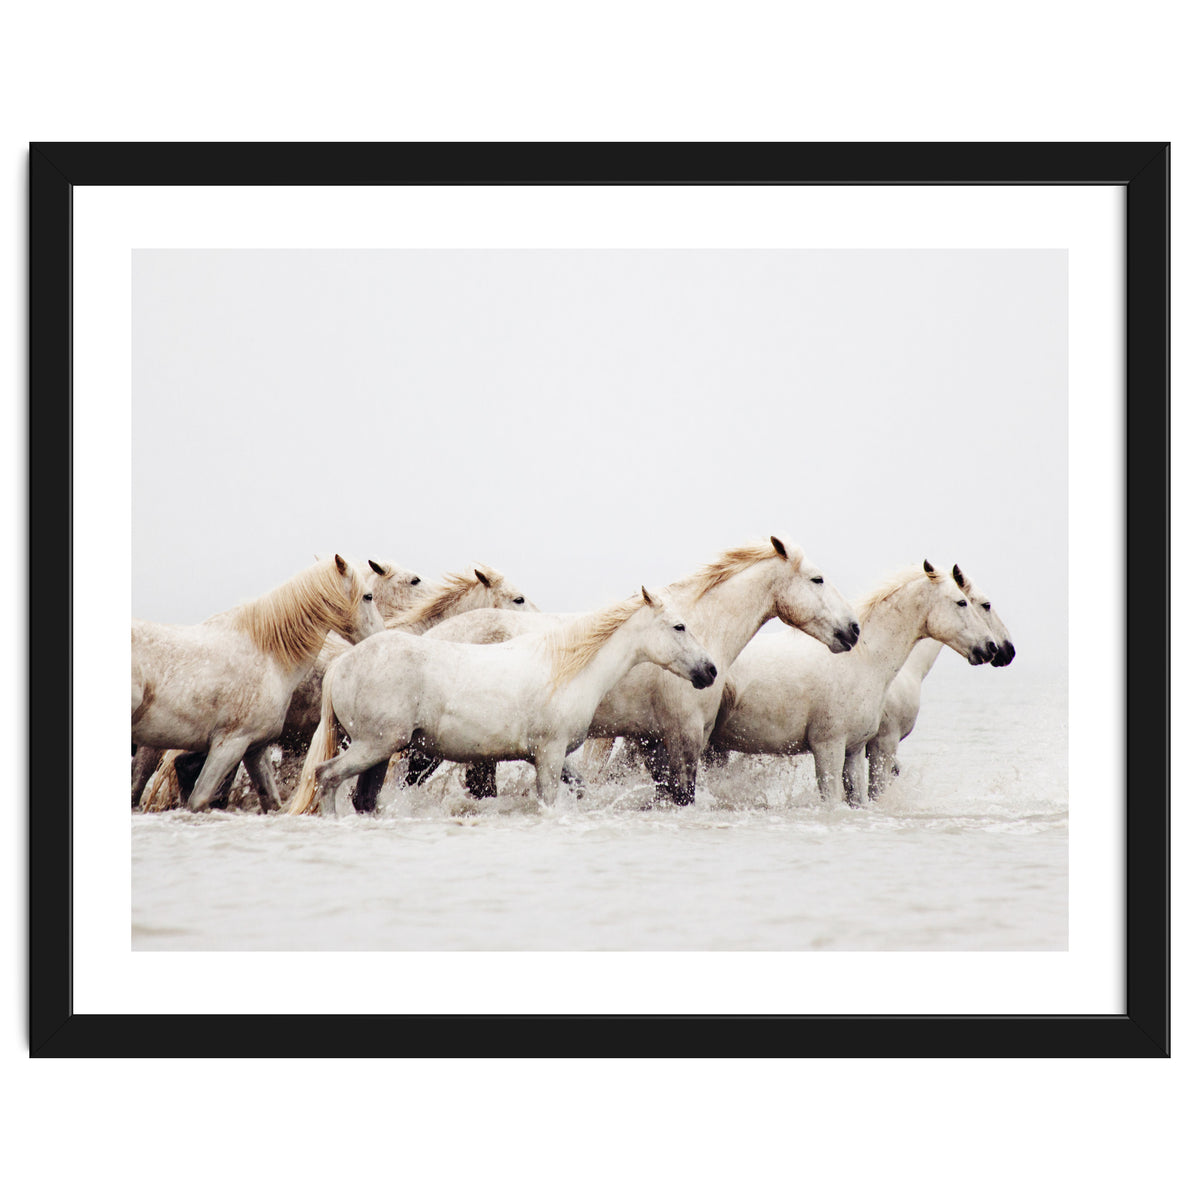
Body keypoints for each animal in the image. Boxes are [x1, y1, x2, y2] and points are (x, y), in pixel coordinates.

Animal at [131, 555, 382, 813]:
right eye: (368, 596)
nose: (380, 635)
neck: (268, 655)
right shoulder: (229, 745)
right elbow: (199, 799)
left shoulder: (254, 748)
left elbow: (270, 800)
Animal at [285, 587, 719, 815]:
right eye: (679, 626)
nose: (710, 671)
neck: (566, 668)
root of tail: (342, 664)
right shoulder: (549, 754)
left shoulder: (550, 757)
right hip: (374, 745)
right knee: (327, 776)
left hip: (380, 751)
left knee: (363, 797)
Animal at [414, 536, 860, 805]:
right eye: (817, 579)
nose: (853, 630)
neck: (699, 627)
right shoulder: (682, 738)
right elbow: (682, 795)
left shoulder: (653, 742)